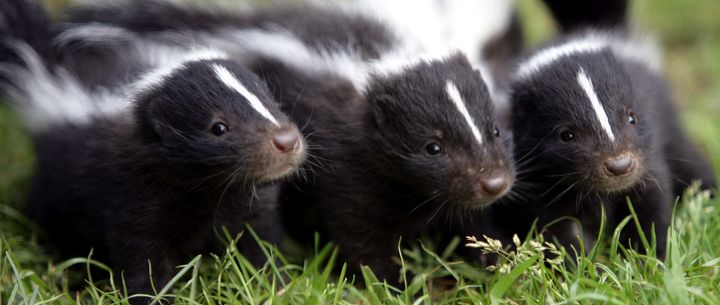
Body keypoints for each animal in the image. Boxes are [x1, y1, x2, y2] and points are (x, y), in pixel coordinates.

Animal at [0, 0, 306, 300]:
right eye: (219, 127)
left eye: (271, 103)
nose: (286, 141)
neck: (211, 189)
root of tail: (49, 72)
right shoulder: (132, 194)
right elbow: (143, 258)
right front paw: (152, 296)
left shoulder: (250, 201)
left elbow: (259, 243)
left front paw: (276, 285)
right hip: (56, 187)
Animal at [56, 1, 516, 280]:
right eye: (432, 147)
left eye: (494, 129)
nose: (494, 182)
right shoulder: (348, 162)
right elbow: (359, 228)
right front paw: (389, 282)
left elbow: (470, 219)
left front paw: (492, 262)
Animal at [490, 30, 716, 255]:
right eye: (567, 135)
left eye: (632, 118)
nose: (620, 165)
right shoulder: (538, 183)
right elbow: (560, 230)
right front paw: (581, 262)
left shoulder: (648, 163)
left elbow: (650, 207)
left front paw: (652, 255)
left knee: (688, 161)